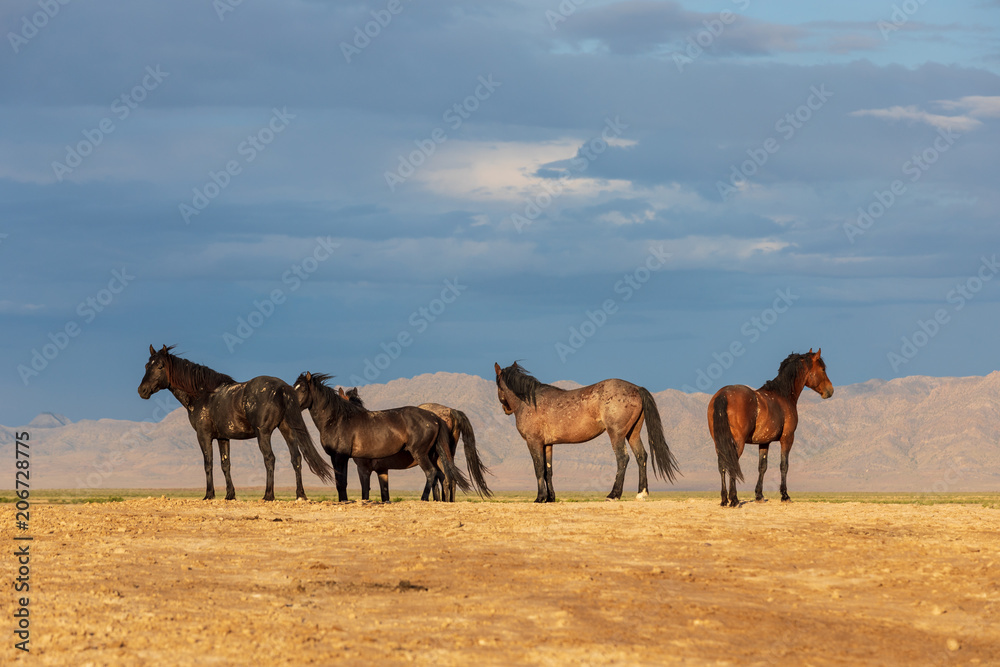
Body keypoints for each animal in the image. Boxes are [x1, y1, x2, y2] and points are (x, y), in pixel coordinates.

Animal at [136, 345, 333, 501]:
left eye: (160, 366)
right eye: (146, 365)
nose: (142, 390)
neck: (203, 394)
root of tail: (282, 388)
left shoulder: (203, 436)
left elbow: (208, 463)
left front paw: (209, 494)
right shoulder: (223, 438)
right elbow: (226, 465)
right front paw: (230, 495)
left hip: (263, 434)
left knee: (270, 458)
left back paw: (268, 495)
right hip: (287, 430)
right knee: (296, 458)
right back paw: (300, 494)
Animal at [292, 372, 472, 502]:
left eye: (302, 389)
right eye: (294, 387)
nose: (291, 404)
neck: (338, 419)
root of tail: (434, 418)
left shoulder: (342, 458)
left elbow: (343, 483)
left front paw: (344, 500)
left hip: (420, 454)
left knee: (432, 473)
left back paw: (423, 499)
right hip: (435, 455)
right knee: (444, 478)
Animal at [340, 387, 492, 502]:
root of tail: (450, 411)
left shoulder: (364, 469)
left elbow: (365, 492)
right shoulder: (382, 470)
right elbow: (385, 495)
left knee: (442, 477)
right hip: (445, 455)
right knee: (447, 478)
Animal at [494, 362, 679, 503]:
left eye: (497, 385)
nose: (505, 409)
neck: (529, 401)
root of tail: (636, 388)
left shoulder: (534, 442)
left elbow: (538, 469)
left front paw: (540, 498)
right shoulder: (548, 445)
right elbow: (548, 471)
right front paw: (550, 498)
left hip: (616, 434)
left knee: (623, 458)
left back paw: (613, 495)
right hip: (632, 433)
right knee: (641, 456)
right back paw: (641, 493)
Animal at [708, 349, 834, 507]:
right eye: (822, 369)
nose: (830, 390)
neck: (783, 395)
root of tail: (723, 394)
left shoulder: (764, 442)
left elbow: (762, 467)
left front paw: (759, 495)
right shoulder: (787, 438)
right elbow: (784, 465)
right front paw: (785, 496)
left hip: (719, 443)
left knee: (722, 465)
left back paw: (724, 499)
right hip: (738, 442)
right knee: (732, 464)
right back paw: (734, 499)